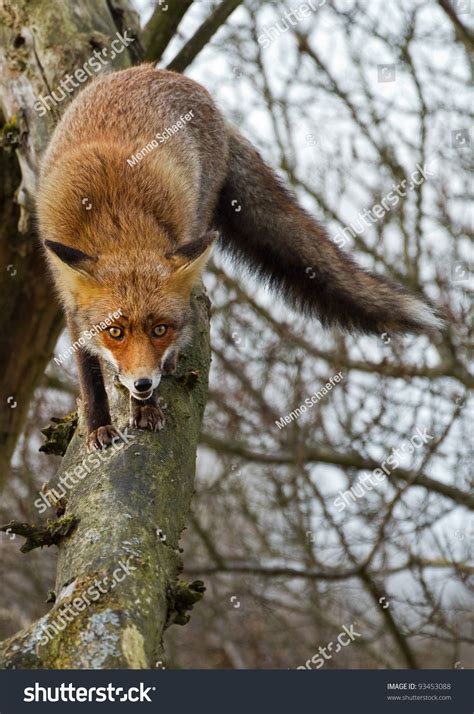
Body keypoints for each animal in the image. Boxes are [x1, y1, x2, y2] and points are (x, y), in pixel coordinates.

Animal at [37, 64, 440, 448]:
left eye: (160, 329)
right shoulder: (69, 301)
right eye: (115, 332)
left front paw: (146, 406)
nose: (142, 384)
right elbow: (89, 377)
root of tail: (169, 74)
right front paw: (99, 425)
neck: (115, 221)